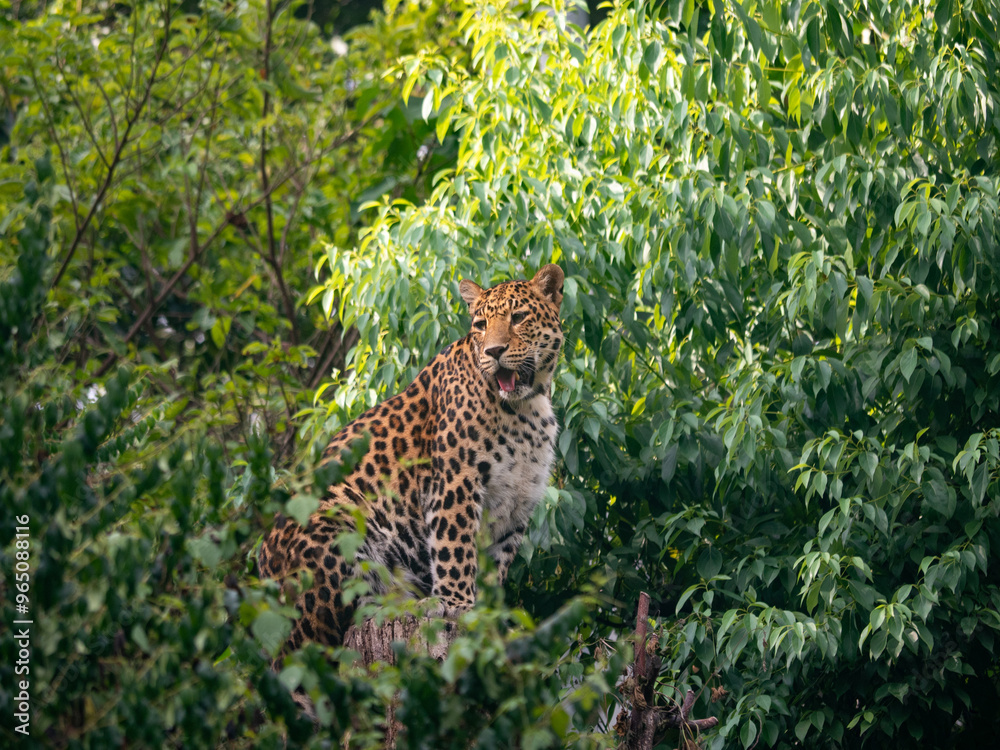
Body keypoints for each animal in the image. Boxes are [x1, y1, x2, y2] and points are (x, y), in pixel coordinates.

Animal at [257, 264, 565, 654]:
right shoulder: (455, 480)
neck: (526, 407)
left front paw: (487, 614)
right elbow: (455, 547)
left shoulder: (516, 502)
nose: (494, 351)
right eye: (481, 325)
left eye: (519, 317)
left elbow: (494, 565)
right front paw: (456, 604)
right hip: (334, 520)